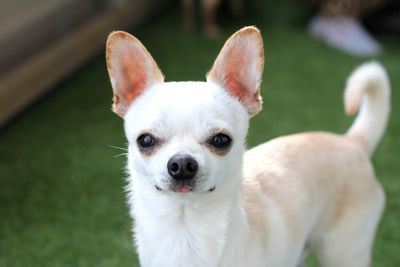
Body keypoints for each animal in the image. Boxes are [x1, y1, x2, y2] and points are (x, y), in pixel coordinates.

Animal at [105, 26, 390, 266]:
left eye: (221, 140)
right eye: (145, 141)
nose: (183, 163)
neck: (185, 229)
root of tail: (351, 141)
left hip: (344, 251)